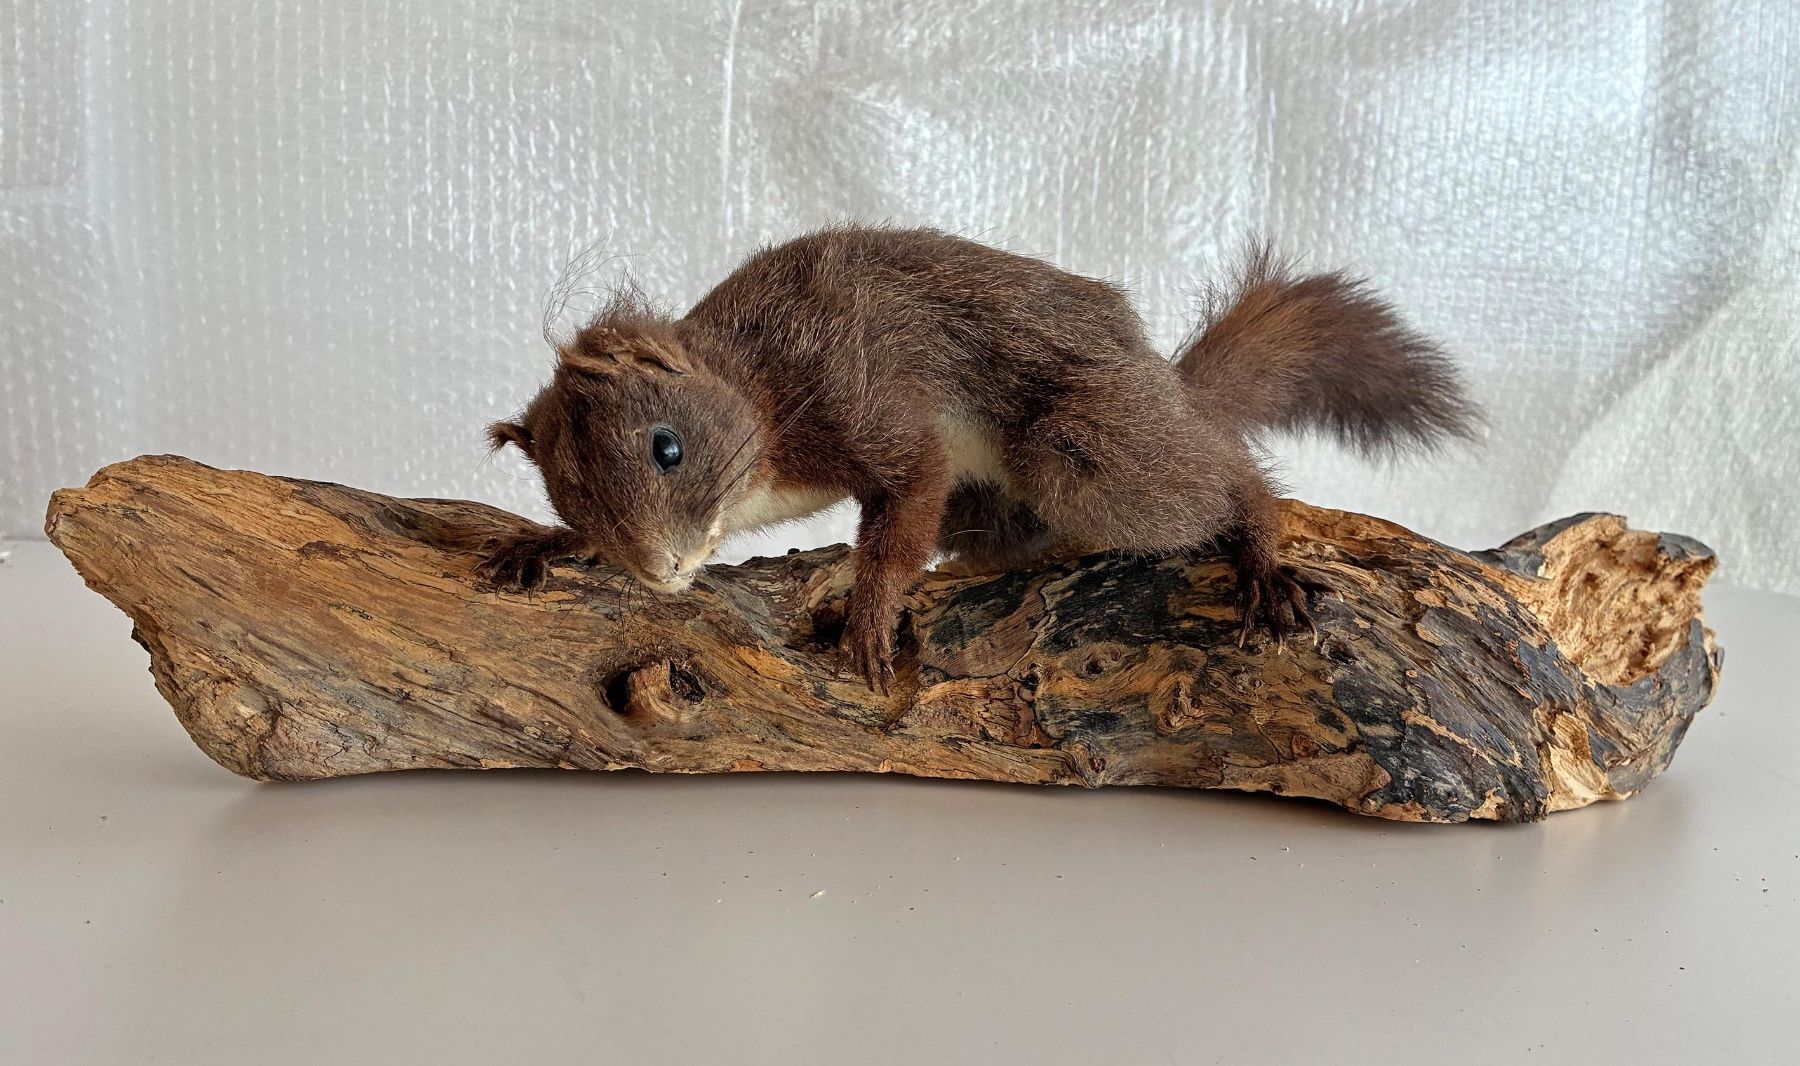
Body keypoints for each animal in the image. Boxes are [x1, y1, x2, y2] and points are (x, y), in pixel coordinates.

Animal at [481, 224, 1478, 689]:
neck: (756, 393)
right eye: (571, 496)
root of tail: (1165, 382)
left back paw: (1261, 552)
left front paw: (870, 617)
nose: (661, 570)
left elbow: (907, 494)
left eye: (668, 446)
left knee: (1219, 475)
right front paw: (542, 547)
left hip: (1086, 446)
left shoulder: (858, 386)